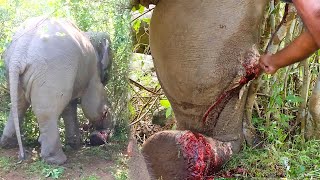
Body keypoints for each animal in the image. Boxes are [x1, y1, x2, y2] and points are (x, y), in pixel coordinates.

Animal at [0, 16, 112, 165]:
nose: (103, 135)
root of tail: (19, 52)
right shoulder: (91, 71)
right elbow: (89, 104)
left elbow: (70, 105)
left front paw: (74, 145)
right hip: (52, 70)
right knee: (48, 111)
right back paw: (56, 160)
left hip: (11, 70)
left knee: (18, 105)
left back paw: (8, 144)